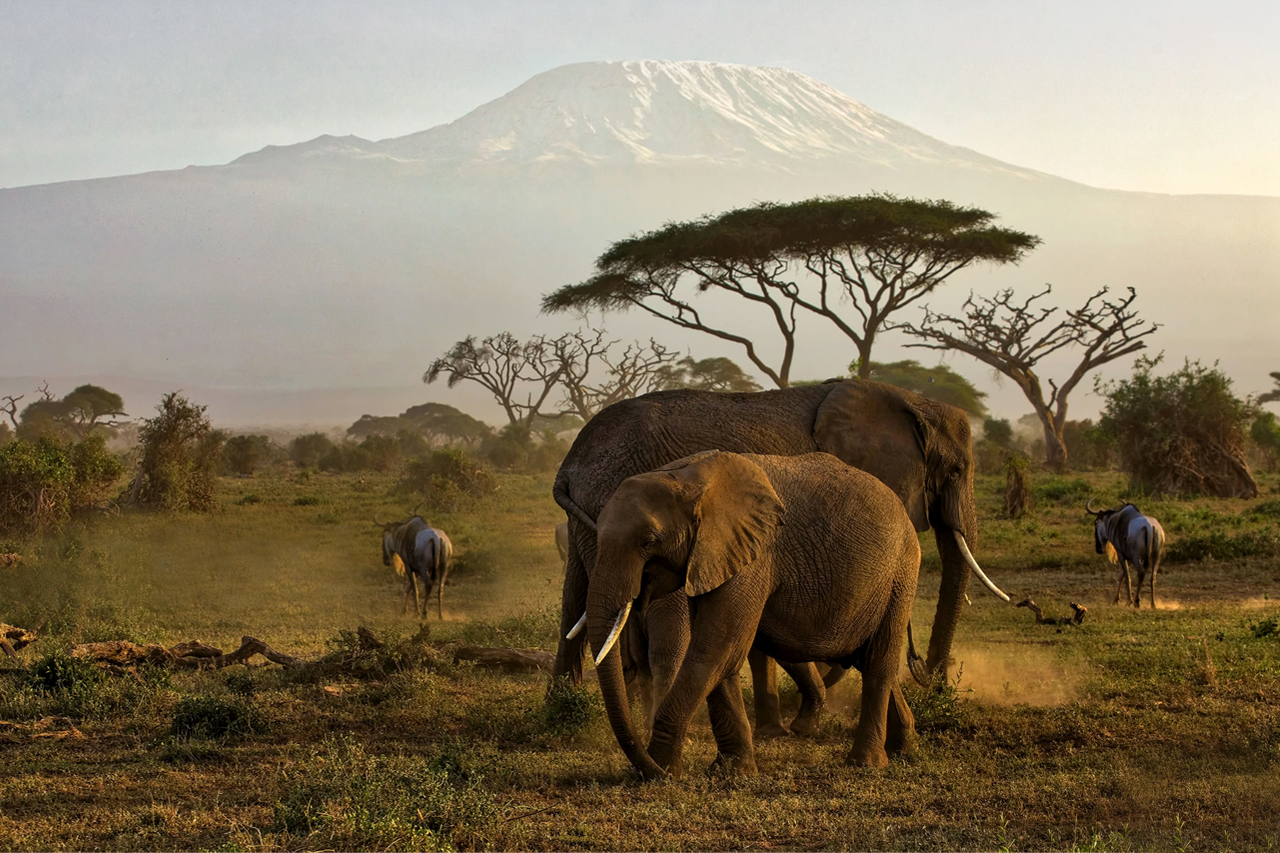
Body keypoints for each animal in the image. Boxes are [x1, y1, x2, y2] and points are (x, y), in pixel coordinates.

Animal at [553, 380, 1007, 733]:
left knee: (576, 604)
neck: (911, 402)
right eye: (955, 471)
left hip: (589, 523)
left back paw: (563, 714)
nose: (926, 673)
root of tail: (568, 465)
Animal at [587, 450, 922, 779]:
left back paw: (866, 763)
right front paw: (732, 771)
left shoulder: (752, 557)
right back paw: (904, 749)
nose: (647, 771)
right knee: (867, 659)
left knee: (878, 662)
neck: (686, 476)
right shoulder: (713, 558)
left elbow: (715, 650)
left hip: (900, 574)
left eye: (649, 541)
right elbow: (722, 656)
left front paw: (663, 769)